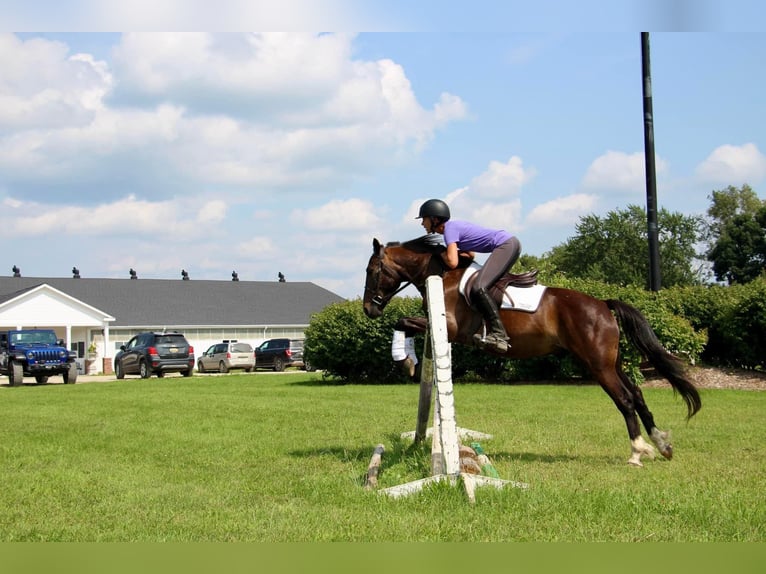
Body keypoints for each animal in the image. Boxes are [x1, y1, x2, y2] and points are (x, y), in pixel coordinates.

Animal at [364, 238, 704, 468]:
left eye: (372, 270)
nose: (368, 309)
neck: (442, 275)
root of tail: (603, 305)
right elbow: (405, 325)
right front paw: (409, 361)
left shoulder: (450, 328)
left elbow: (401, 322)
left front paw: (405, 361)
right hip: (611, 362)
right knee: (637, 394)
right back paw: (662, 444)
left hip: (598, 365)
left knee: (625, 399)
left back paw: (637, 451)